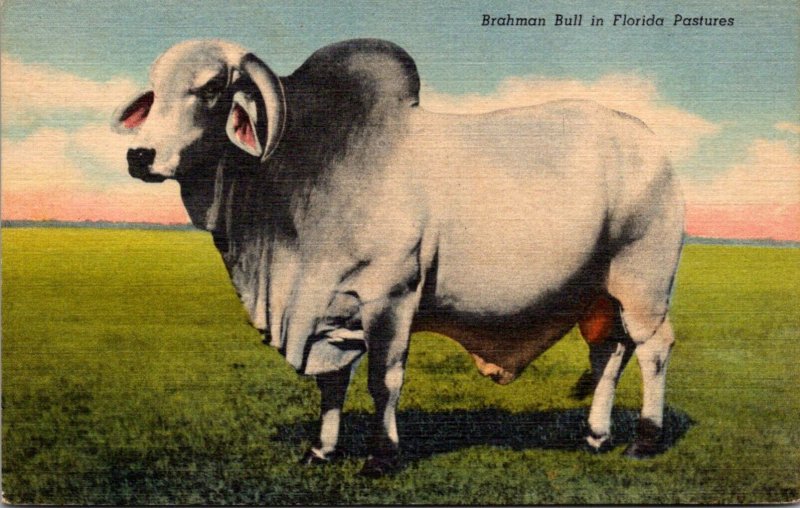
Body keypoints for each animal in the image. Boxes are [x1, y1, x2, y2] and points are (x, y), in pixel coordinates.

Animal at [115, 38, 684, 476]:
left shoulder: (389, 296)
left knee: (653, 348)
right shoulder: (327, 309)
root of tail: (652, 144)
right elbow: (332, 384)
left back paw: (644, 440)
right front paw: (321, 450)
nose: (139, 156)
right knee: (609, 352)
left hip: (643, 283)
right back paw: (596, 435)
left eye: (211, 88)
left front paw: (382, 457)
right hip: (601, 293)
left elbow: (382, 380)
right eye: (154, 89)